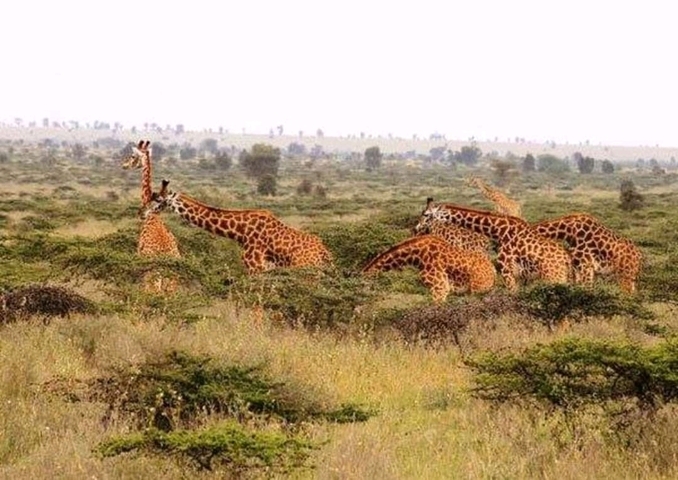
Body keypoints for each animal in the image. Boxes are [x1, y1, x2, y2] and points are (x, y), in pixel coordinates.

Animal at [415, 198, 572, 292]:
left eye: (426, 214)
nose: (416, 229)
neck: (499, 231)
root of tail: (567, 259)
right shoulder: (519, 276)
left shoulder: (506, 269)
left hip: (554, 277)